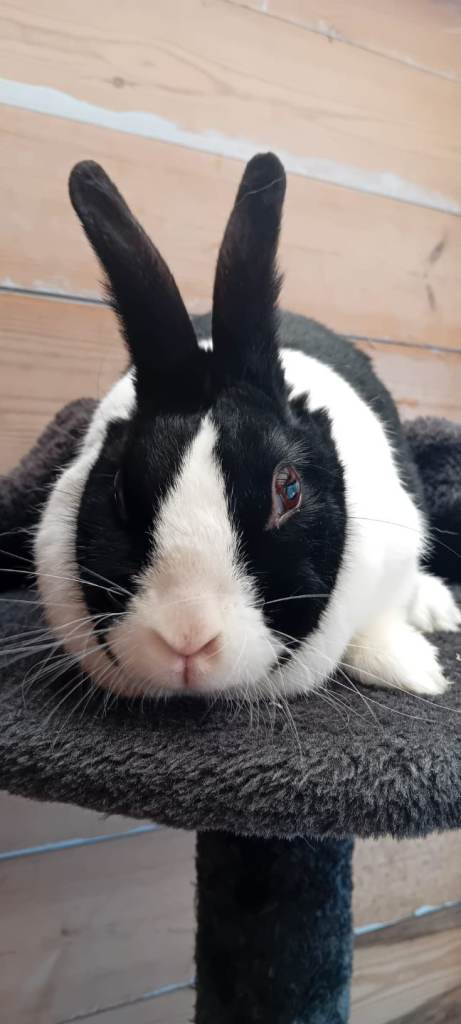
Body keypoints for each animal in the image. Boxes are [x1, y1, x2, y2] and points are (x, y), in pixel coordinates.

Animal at [34, 153, 460, 701]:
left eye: (289, 489)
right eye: (119, 492)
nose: (187, 637)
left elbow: (382, 614)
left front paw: (415, 671)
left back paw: (437, 609)